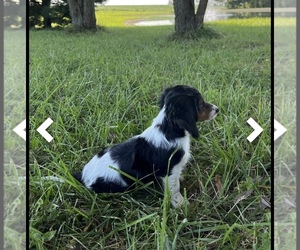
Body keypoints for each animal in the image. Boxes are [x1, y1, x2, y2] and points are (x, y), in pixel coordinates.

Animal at [74, 85, 219, 207]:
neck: (167, 129)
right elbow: (175, 188)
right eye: (201, 104)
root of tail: (82, 175)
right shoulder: (169, 171)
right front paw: (181, 204)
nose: (217, 109)